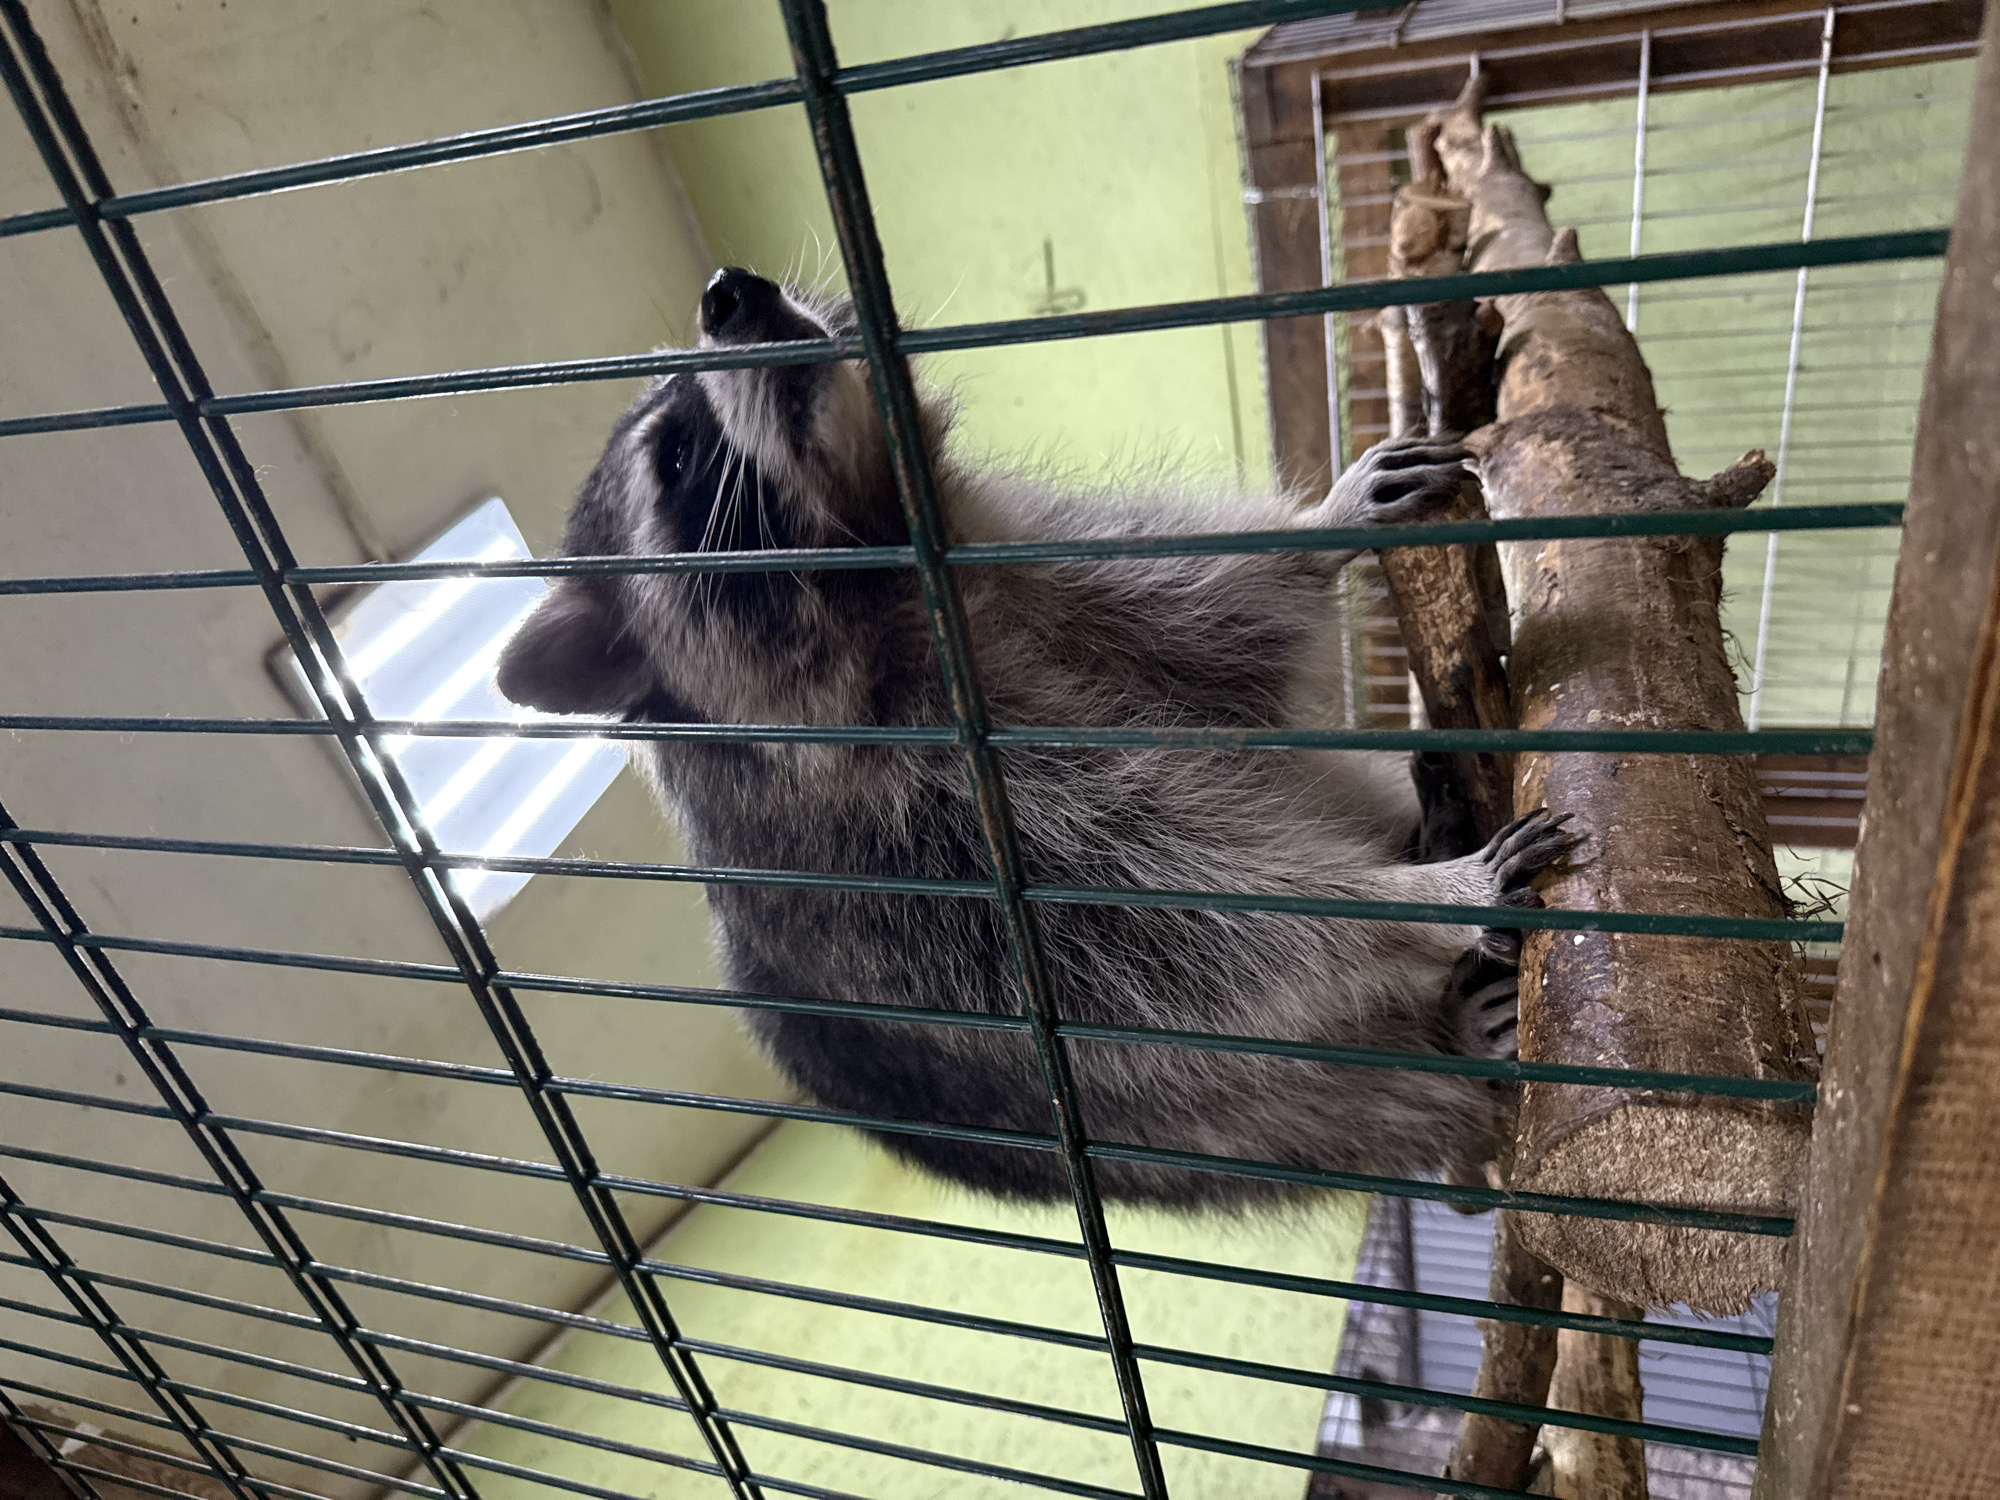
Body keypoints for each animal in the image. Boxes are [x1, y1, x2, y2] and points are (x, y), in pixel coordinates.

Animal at [497, 268, 1572, 1209]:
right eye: (676, 455)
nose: (730, 291)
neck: (877, 568)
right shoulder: (917, 863)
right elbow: (1213, 937)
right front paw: (1420, 903)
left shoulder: (1041, 584)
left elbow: (1228, 618)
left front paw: (1320, 532)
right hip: (1288, 1126)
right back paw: (1449, 1028)